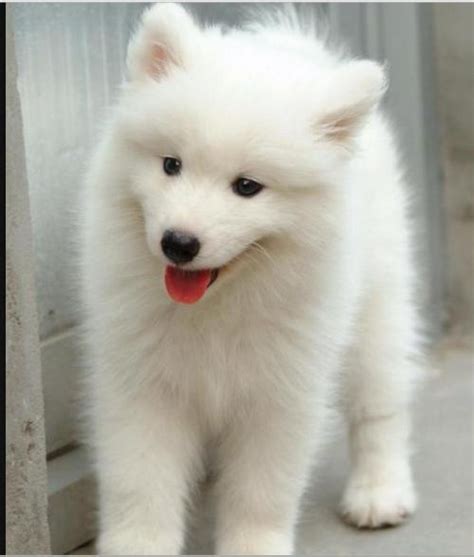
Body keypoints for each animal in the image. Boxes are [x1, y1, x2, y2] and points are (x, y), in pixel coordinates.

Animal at [80, 4, 423, 554]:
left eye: (247, 187)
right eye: (171, 165)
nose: (179, 243)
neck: (219, 305)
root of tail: (292, 45)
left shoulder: (280, 392)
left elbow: (261, 489)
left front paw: (252, 545)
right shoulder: (141, 384)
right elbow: (141, 482)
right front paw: (139, 545)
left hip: (379, 307)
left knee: (380, 405)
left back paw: (379, 493)